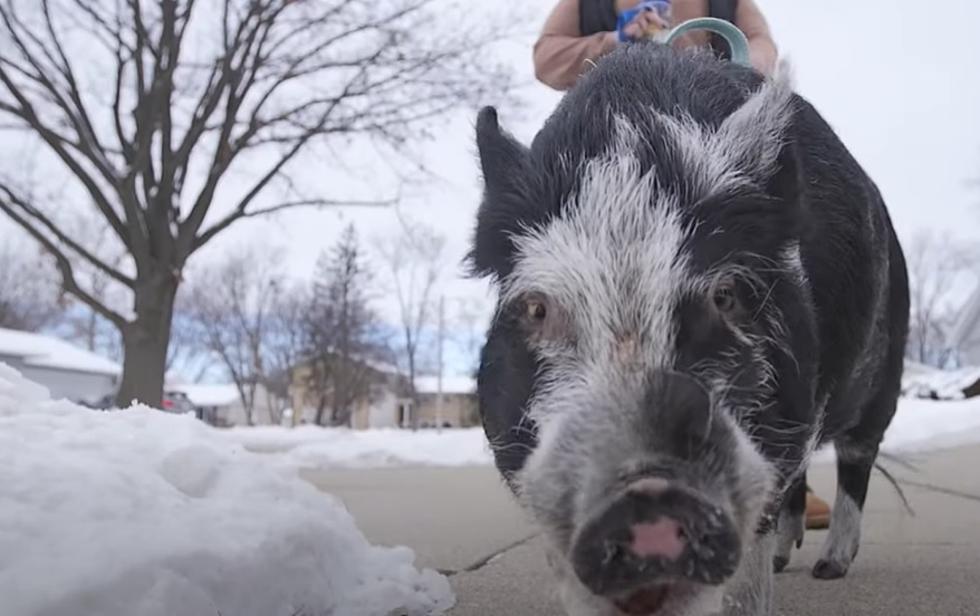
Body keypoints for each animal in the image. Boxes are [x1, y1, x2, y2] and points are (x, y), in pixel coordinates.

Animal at [468, 41, 912, 612]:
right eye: (536, 308)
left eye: (726, 295)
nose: (644, 491)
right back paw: (788, 560)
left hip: (883, 374)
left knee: (857, 459)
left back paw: (828, 568)